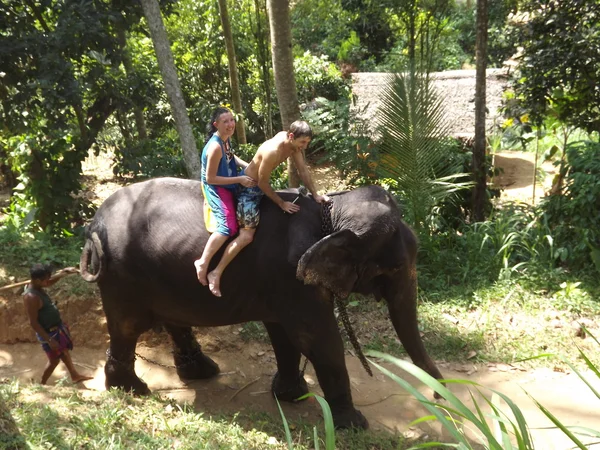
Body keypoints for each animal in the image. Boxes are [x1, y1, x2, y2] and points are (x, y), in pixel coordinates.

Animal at [79, 176, 442, 428]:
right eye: (394, 267)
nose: (440, 397)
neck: (332, 211)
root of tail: (93, 224)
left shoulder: (282, 283)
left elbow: (284, 334)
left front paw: (292, 396)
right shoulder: (293, 280)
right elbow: (318, 339)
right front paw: (354, 425)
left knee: (171, 320)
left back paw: (202, 372)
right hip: (122, 276)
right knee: (128, 326)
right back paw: (132, 390)